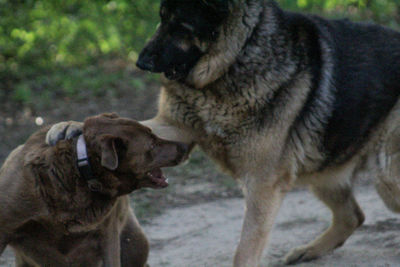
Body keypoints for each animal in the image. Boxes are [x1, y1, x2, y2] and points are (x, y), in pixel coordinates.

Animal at [48, 0, 400, 267]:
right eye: (162, 18)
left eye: (180, 26)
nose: (141, 62)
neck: (234, 61)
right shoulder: (176, 128)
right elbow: (131, 124)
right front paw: (71, 126)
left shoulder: (262, 186)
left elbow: (245, 251)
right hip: (322, 169)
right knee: (352, 215)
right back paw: (309, 251)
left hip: (385, 177)